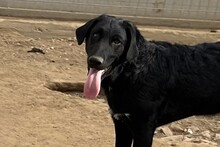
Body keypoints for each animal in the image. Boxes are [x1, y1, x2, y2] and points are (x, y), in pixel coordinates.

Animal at [75, 15, 220, 147]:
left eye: (117, 42)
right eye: (95, 35)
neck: (132, 72)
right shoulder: (121, 123)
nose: (95, 61)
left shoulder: (144, 128)